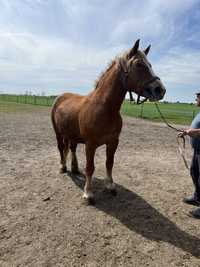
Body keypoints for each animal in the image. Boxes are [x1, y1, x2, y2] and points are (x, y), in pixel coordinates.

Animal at [51, 39, 166, 203]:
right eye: (139, 64)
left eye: (150, 64)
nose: (160, 90)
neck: (105, 109)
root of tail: (60, 97)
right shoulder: (90, 145)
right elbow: (90, 167)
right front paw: (88, 193)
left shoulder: (113, 142)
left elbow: (109, 163)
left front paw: (110, 186)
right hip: (58, 133)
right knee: (61, 148)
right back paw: (62, 167)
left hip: (72, 135)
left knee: (71, 148)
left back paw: (74, 168)